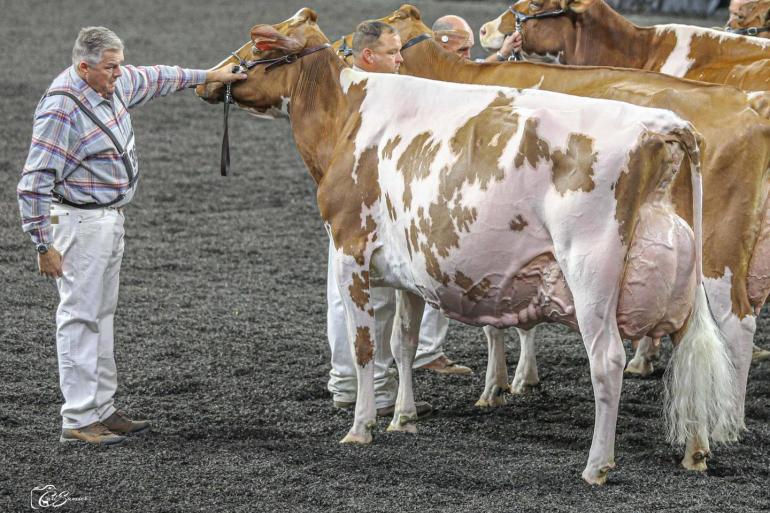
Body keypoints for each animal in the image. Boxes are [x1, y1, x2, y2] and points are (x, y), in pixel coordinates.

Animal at [195, 10, 740, 486]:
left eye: (258, 47)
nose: (208, 78)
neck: (347, 115)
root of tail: (662, 125)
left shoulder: (351, 251)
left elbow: (366, 346)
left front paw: (361, 427)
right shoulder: (406, 270)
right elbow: (403, 343)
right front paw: (404, 417)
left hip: (591, 272)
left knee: (605, 362)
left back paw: (596, 466)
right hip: (684, 277)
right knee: (691, 348)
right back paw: (695, 452)